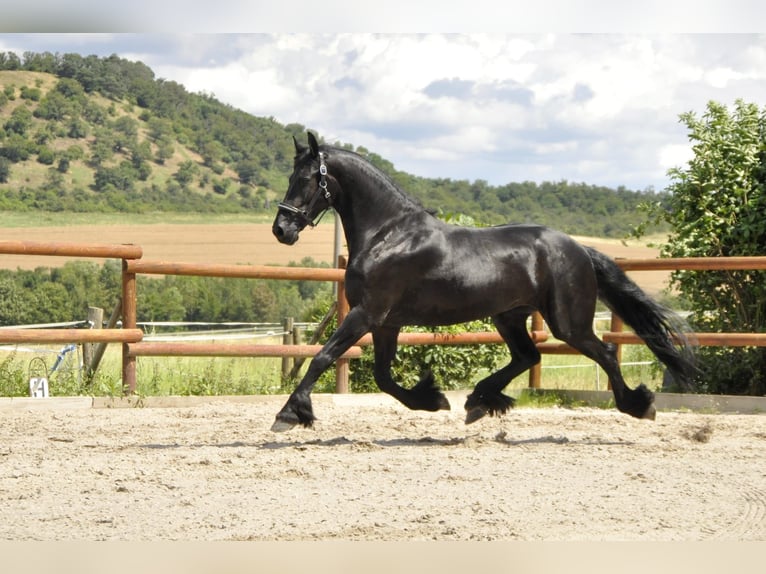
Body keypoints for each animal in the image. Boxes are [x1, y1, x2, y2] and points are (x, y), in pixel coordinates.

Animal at [270, 131, 697, 432]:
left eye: (307, 179)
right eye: (291, 175)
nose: (281, 230)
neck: (388, 234)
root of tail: (578, 248)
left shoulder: (366, 313)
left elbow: (324, 356)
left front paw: (289, 415)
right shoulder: (385, 322)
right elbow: (383, 377)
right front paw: (432, 399)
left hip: (567, 322)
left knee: (603, 353)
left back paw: (638, 405)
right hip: (509, 316)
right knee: (528, 356)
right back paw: (479, 401)